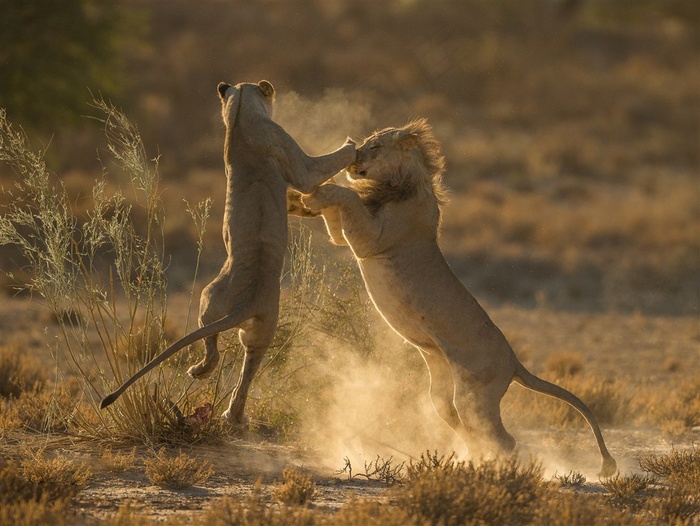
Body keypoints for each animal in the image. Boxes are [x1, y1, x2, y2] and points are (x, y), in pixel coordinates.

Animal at [100, 79, 356, 424]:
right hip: (221, 303)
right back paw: (211, 386)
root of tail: (245, 304)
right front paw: (352, 145)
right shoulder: (297, 162)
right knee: (221, 351)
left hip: (239, 316)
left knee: (231, 357)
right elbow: (317, 170)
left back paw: (223, 401)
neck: (238, 116)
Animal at [304, 119, 616, 478]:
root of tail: (514, 361)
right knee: (461, 423)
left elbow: (349, 197)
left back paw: (493, 468)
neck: (400, 182)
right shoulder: (346, 235)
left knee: (503, 439)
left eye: (375, 147)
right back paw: (469, 459)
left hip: (475, 394)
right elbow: (336, 216)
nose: (353, 159)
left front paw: (316, 192)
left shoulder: (372, 239)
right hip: (442, 389)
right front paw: (312, 197)